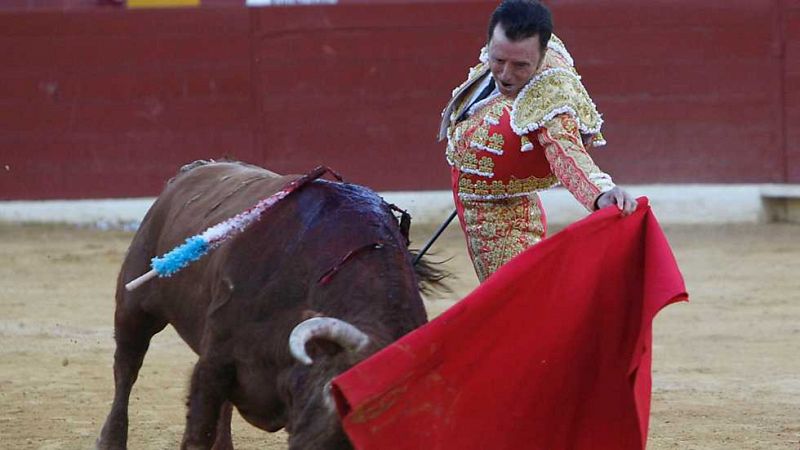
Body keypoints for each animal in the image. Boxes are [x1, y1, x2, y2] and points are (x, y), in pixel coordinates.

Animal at [98, 162, 444, 450]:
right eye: (334, 397)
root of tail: (192, 171)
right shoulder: (214, 361)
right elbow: (198, 432)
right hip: (135, 307)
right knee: (126, 367)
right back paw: (111, 440)